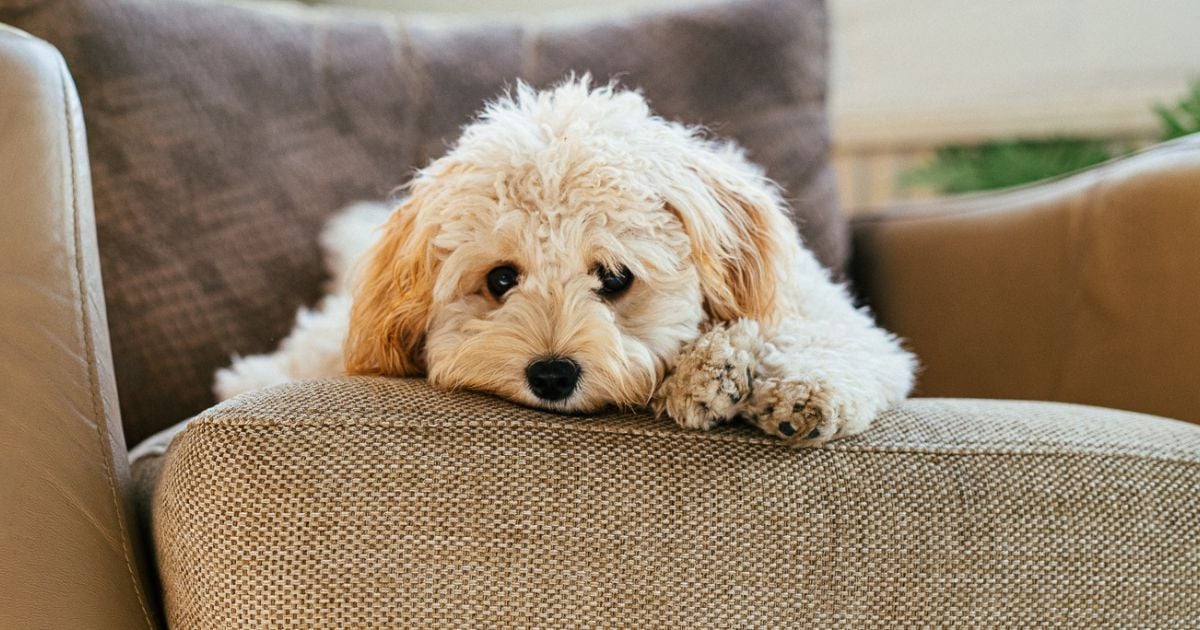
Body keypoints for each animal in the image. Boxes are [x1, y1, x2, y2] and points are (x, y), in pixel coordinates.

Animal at [216, 77, 912, 441]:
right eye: (501, 279)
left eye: (615, 277)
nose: (551, 375)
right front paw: (715, 375)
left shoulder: (826, 312)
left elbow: (824, 340)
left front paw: (779, 384)